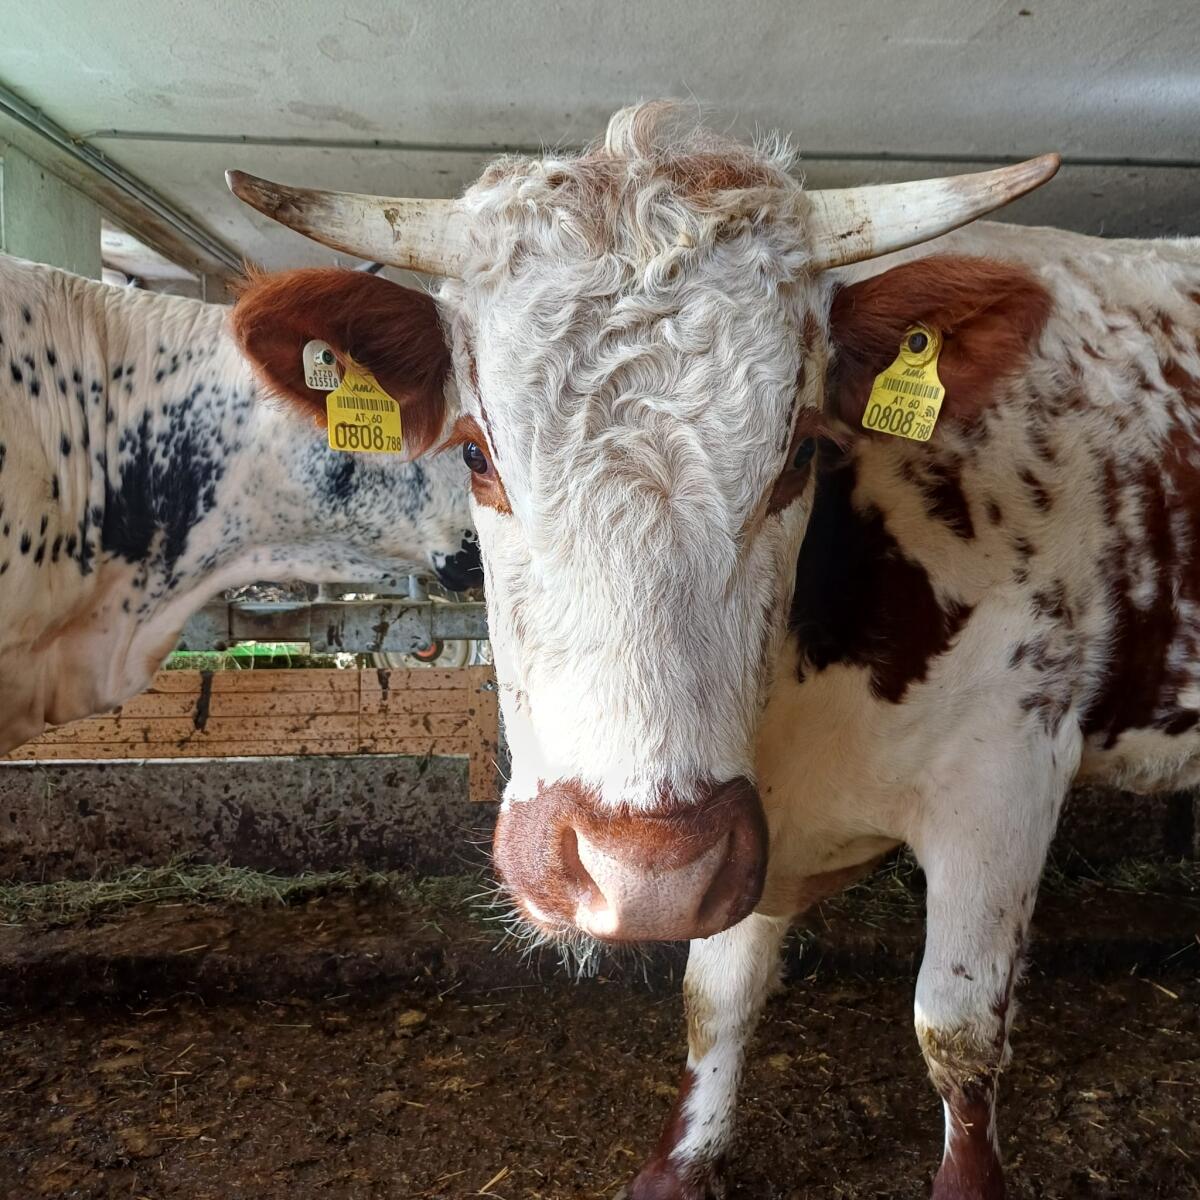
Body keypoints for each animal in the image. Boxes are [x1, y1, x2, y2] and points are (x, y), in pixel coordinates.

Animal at [227, 102, 1200, 1198]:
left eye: (803, 452)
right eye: (475, 452)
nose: (638, 873)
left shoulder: (1007, 781)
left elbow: (955, 1030)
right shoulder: (749, 839)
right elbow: (716, 997)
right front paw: (681, 1161)